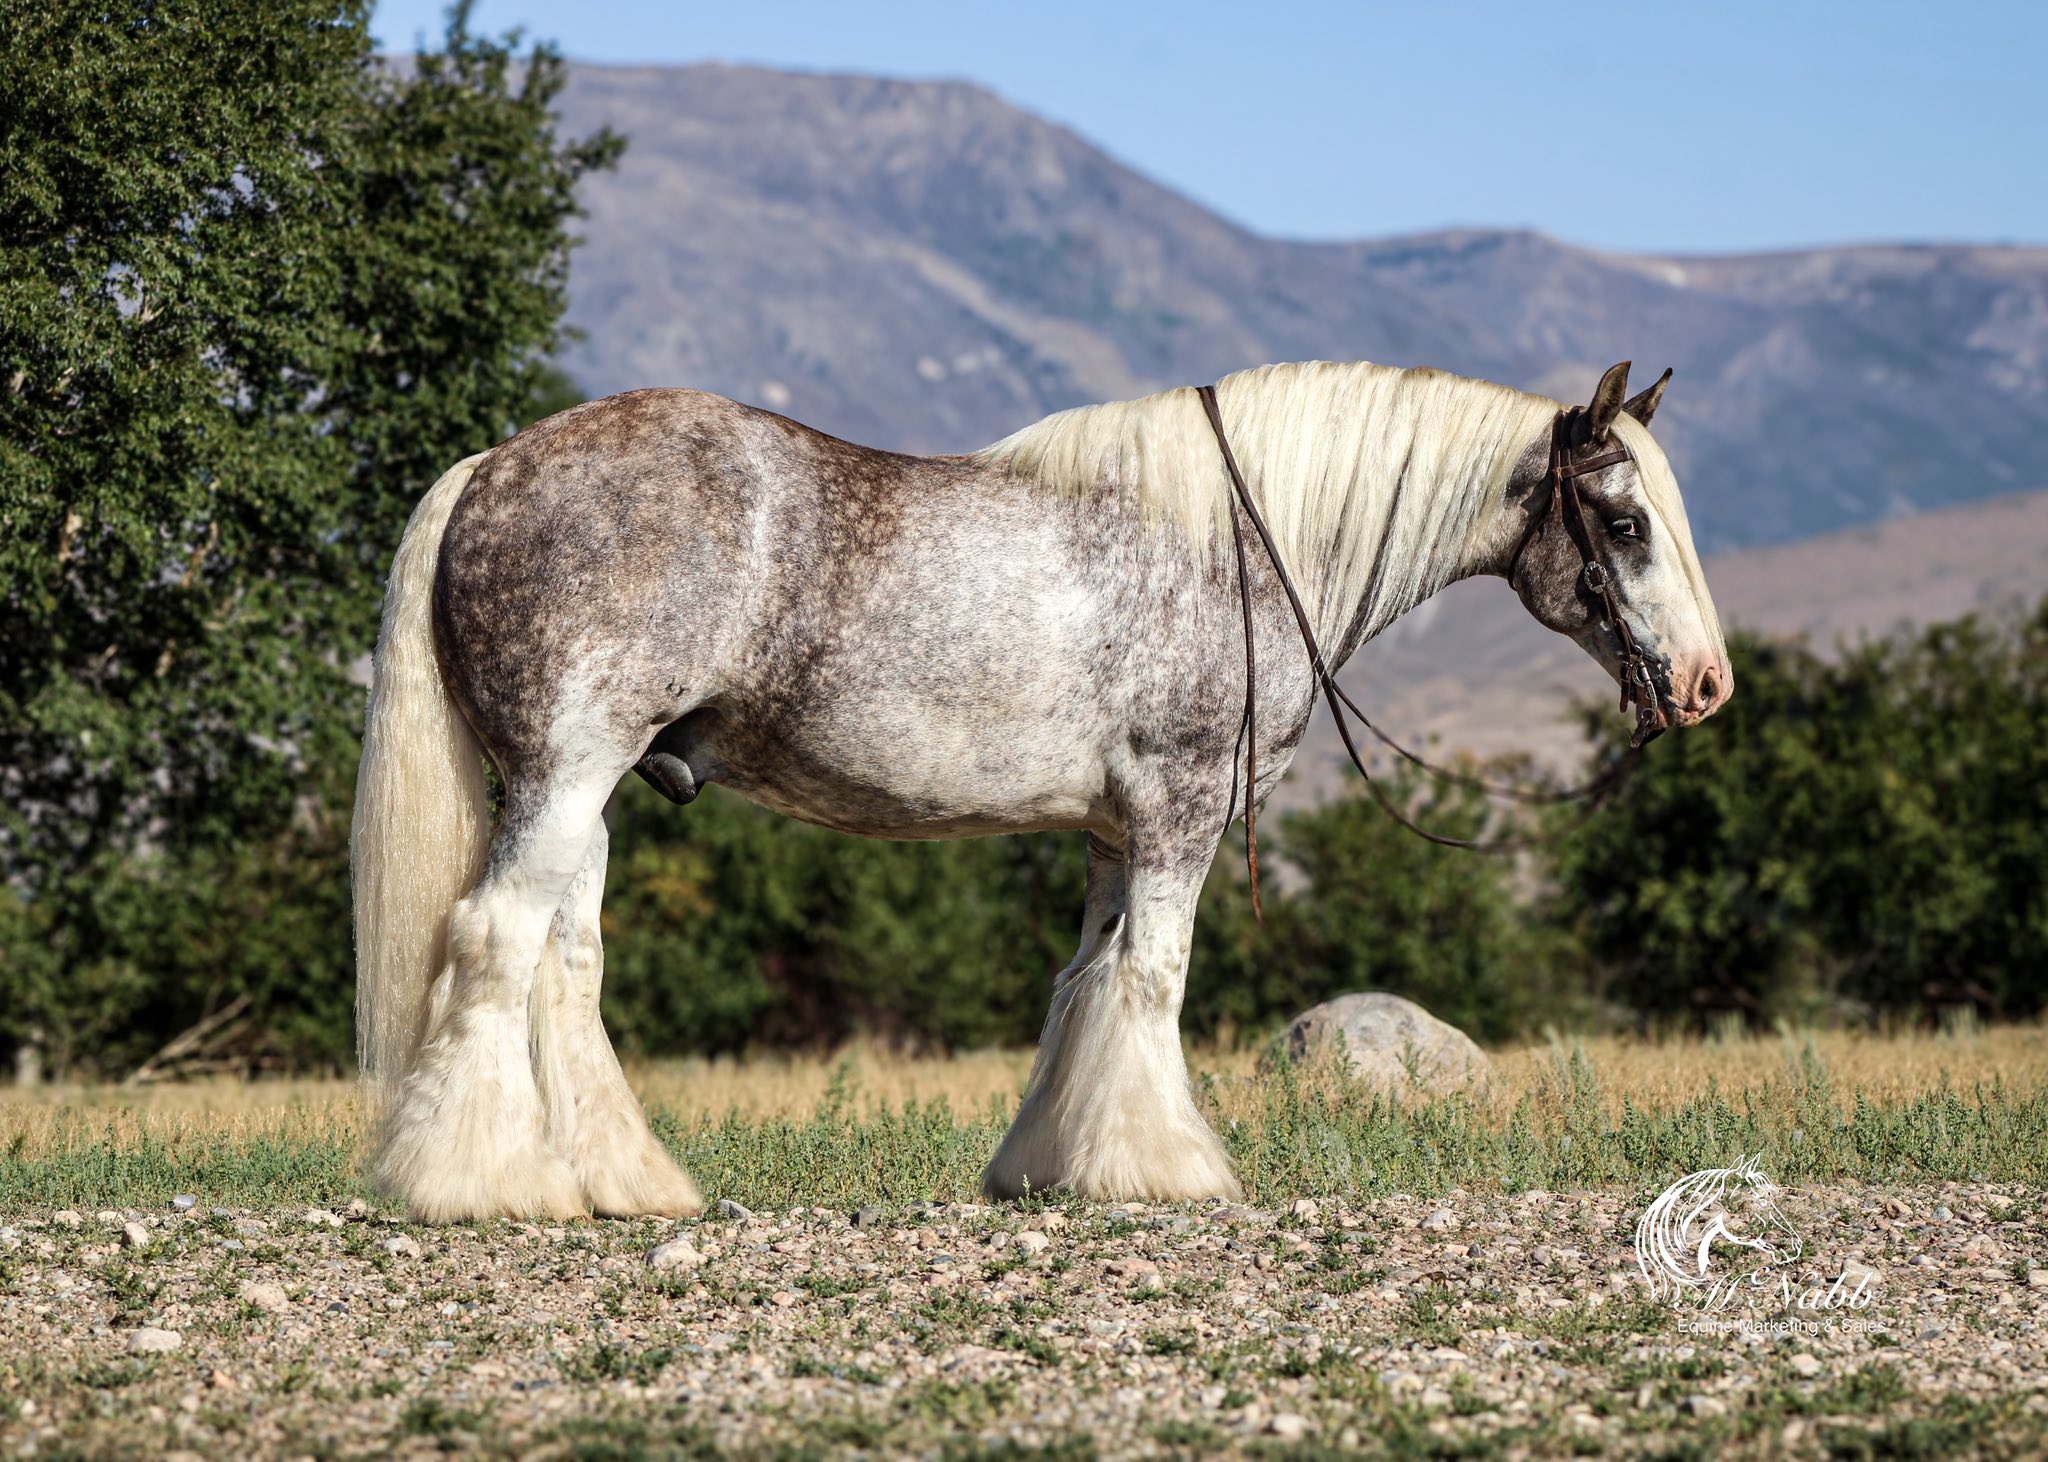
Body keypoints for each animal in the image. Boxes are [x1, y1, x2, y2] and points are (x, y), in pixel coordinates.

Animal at [350, 357, 1732, 1221]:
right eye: (1620, 525)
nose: (1707, 684)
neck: (1236, 544)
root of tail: (495, 466)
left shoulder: (1112, 835)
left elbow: (1088, 984)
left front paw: (1053, 1164)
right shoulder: (1178, 808)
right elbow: (1154, 980)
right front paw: (1167, 1169)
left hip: (579, 799)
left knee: (561, 964)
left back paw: (619, 1182)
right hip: (563, 778)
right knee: (491, 941)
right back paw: (480, 1183)